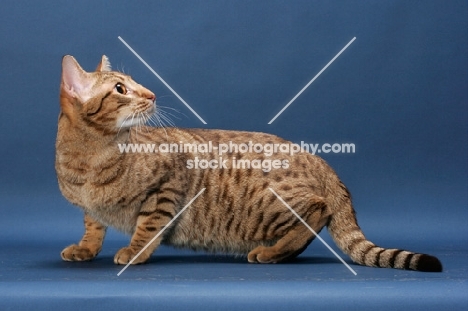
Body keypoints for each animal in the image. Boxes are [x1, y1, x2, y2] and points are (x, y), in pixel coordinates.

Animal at [55, 55, 442, 272]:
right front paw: (86, 248)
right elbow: (93, 225)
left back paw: (272, 253)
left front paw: (135, 251)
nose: (152, 94)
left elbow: (149, 225)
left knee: (318, 210)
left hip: (267, 206)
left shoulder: (169, 184)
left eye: (136, 84)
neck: (88, 160)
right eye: (121, 89)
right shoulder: (89, 208)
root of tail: (318, 158)